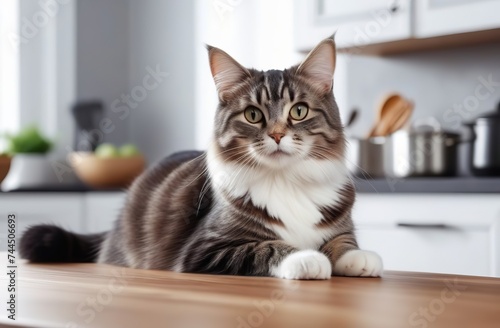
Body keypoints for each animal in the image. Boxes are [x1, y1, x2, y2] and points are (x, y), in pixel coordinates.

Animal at [19, 37, 382, 280]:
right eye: (253, 115)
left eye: (299, 111)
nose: (278, 135)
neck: (286, 181)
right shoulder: (205, 249)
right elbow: (268, 247)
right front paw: (307, 259)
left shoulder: (340, 223)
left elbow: (343, 241)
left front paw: (359, 257)